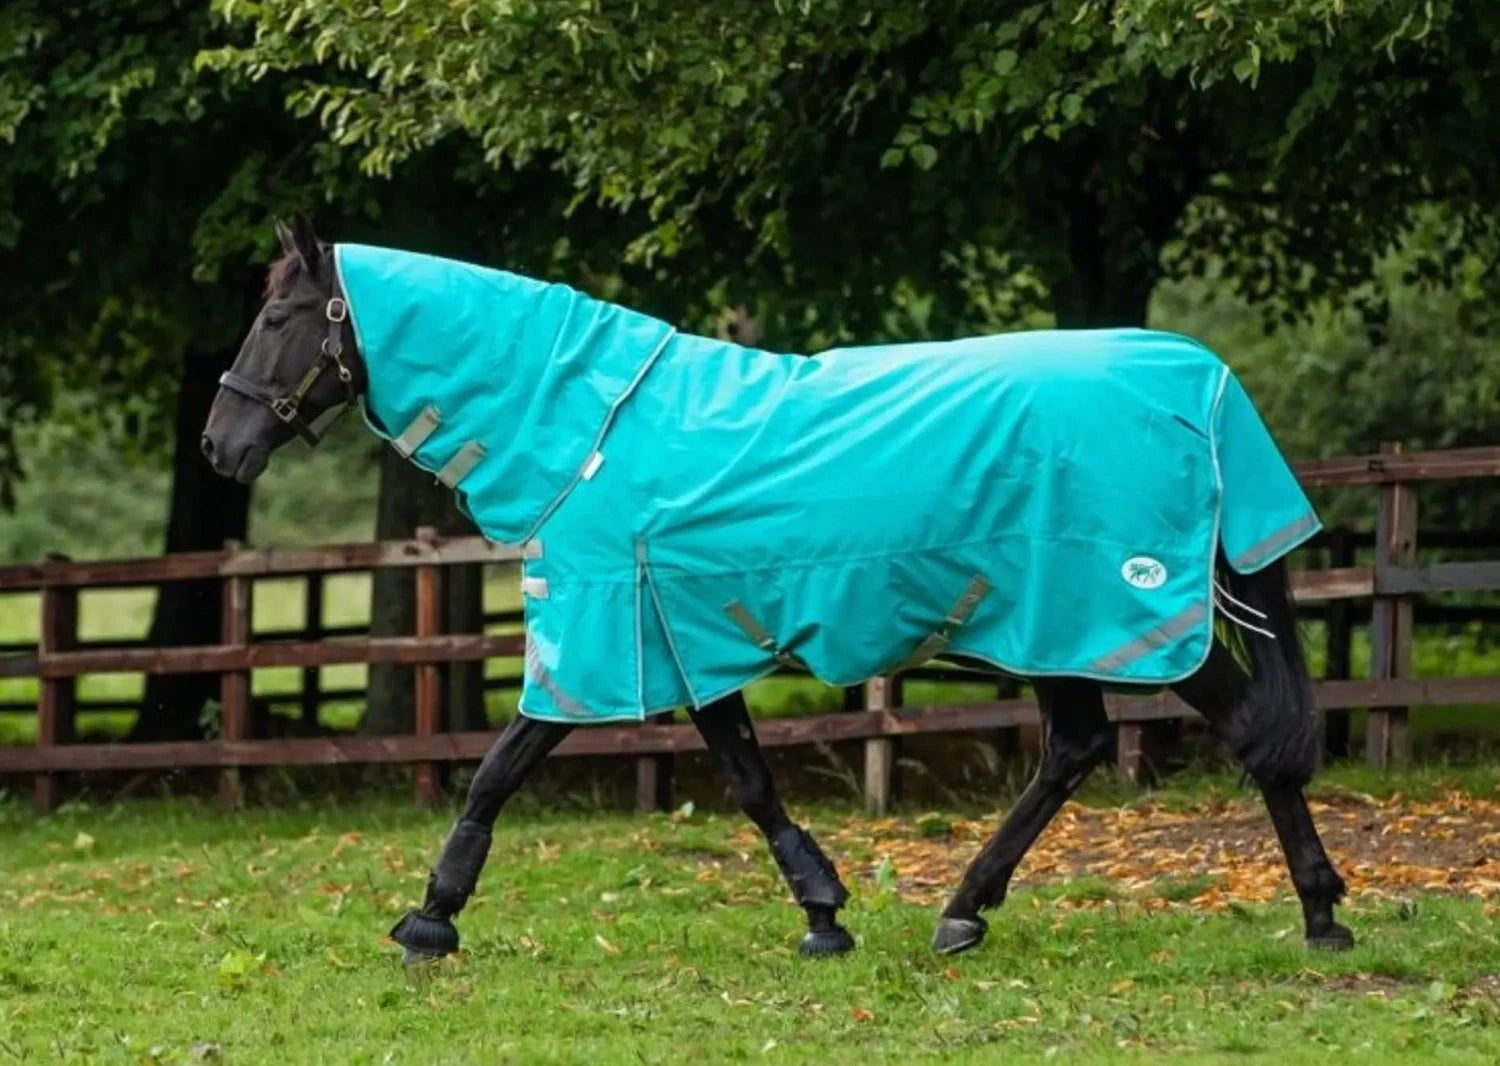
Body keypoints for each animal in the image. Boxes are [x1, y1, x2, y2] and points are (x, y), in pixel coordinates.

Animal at [201, 217, 1353, 965]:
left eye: (279, 318)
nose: (219, 446)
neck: (590, 430)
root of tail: (1193, 381)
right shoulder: (684, 639)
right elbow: (751, 782)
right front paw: (825, 913)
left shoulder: (600, 634)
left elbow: (494, 772)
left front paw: (430, 920)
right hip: (1050, 627)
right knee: (1073, 749)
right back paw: (964, 912)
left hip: (1124, 614)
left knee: (1246, 735)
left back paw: (1322, 915)